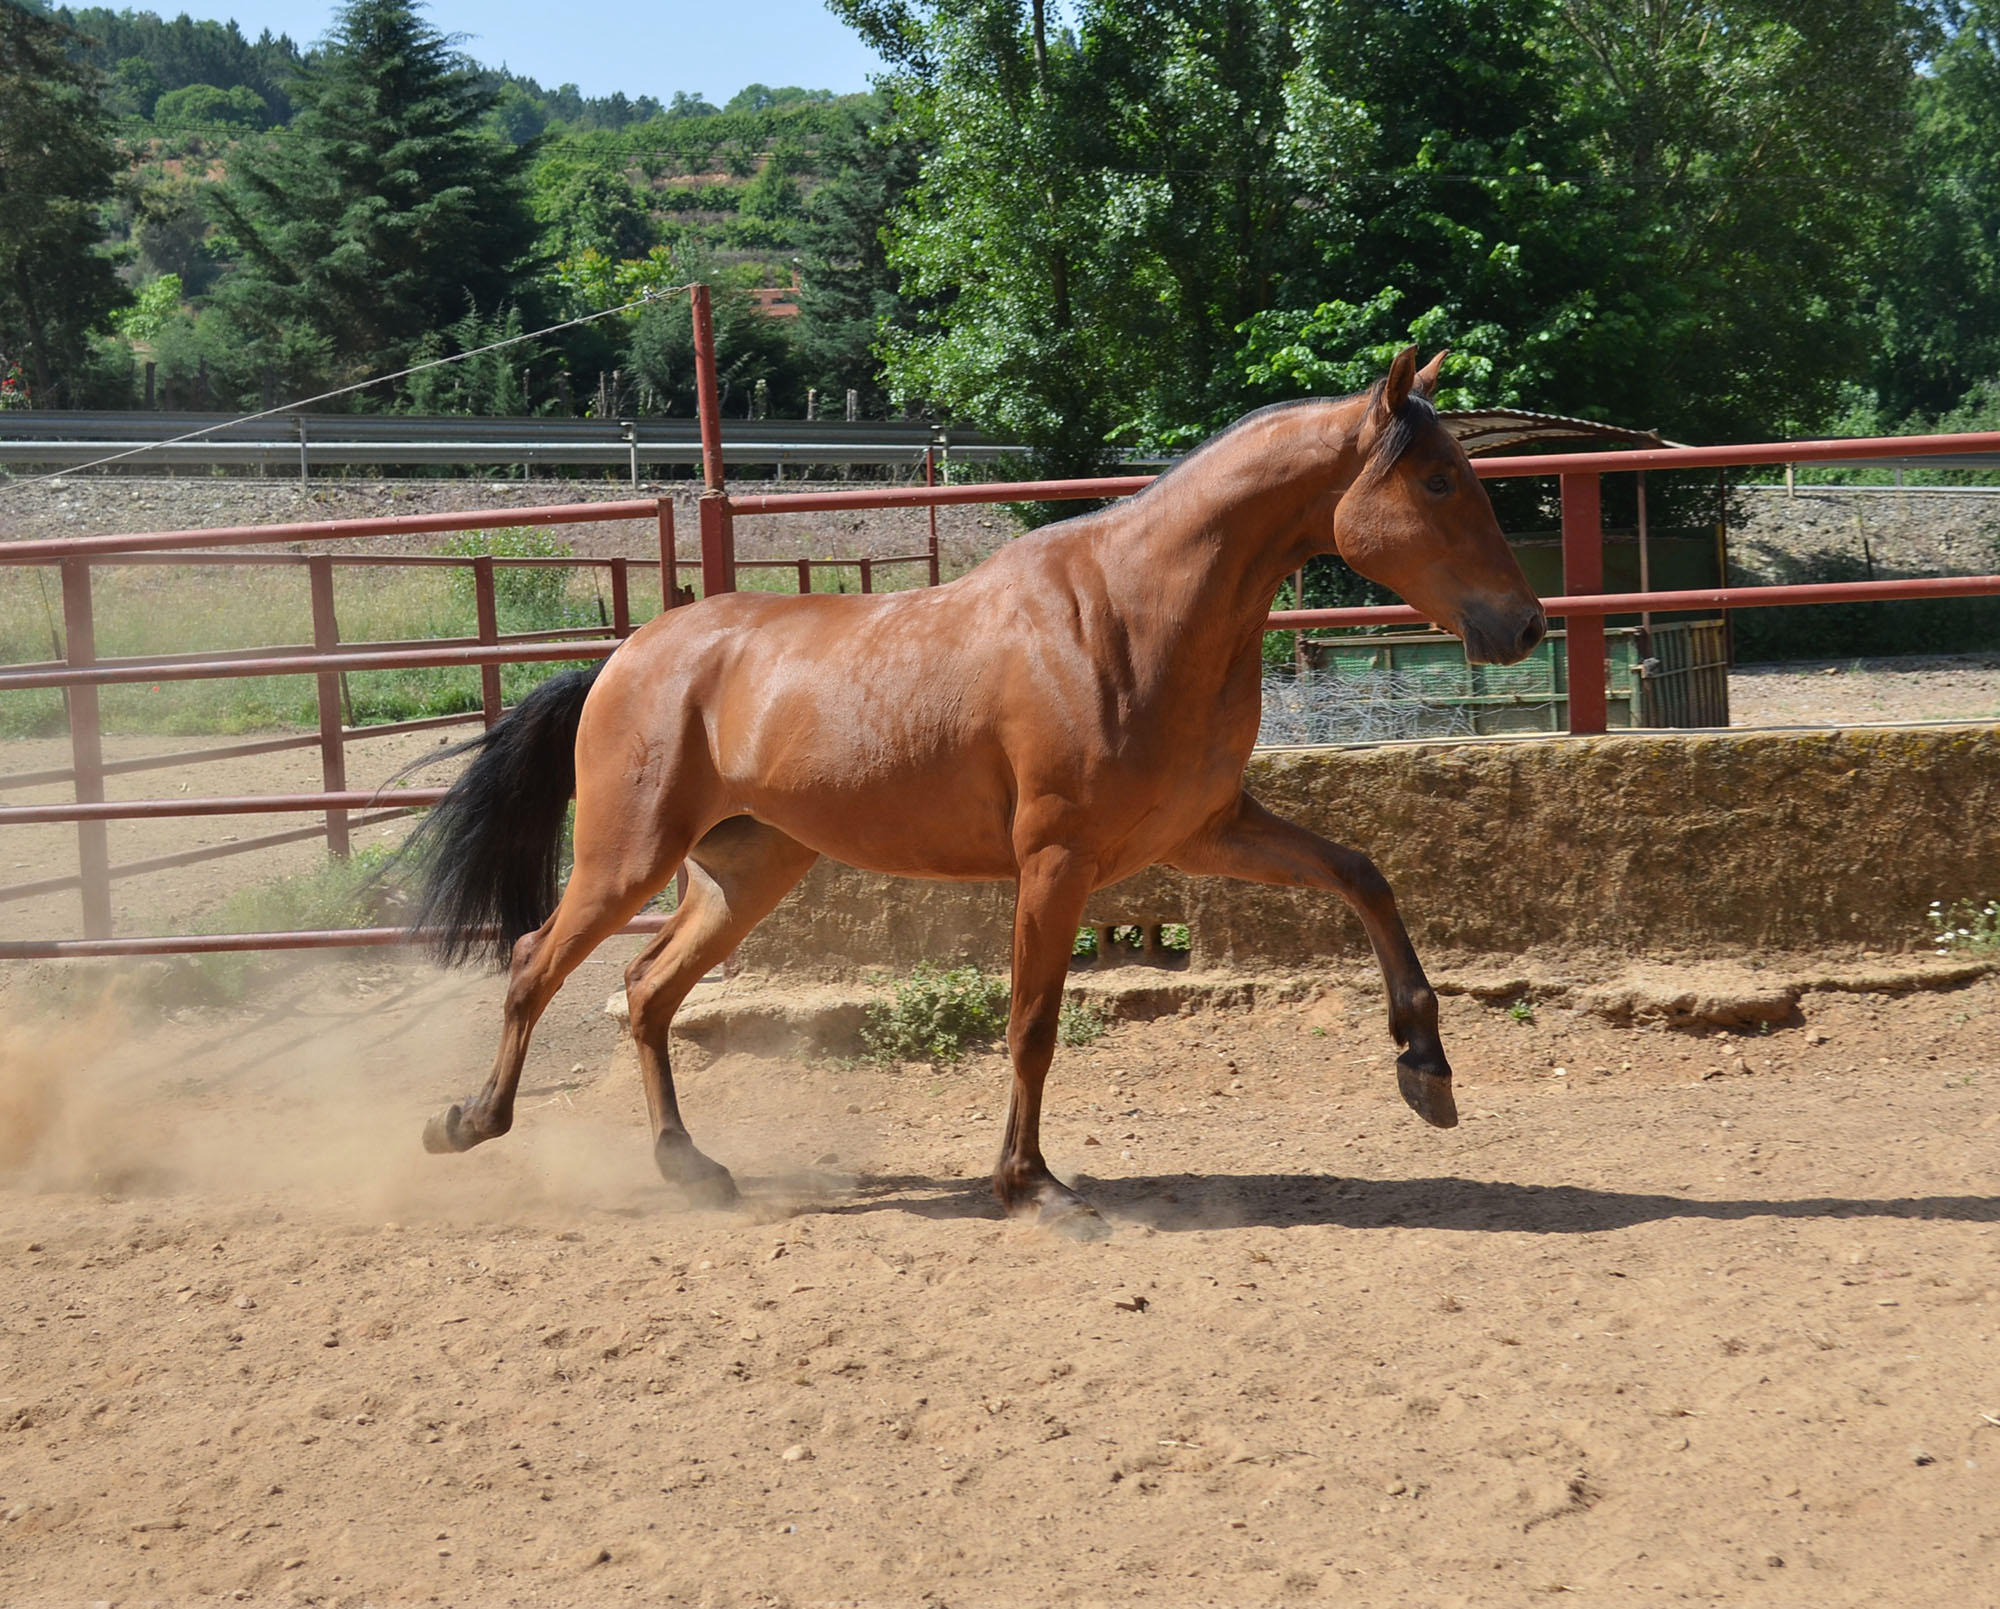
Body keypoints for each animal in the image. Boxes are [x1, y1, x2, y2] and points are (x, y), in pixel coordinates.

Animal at [410, 348, 1544, 1232]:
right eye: (1438, 482)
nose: (1525, 623)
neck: (1130, 616)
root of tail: (624, 655)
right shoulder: (1056, 859)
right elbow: (1031, 1022)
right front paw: (1031, 1186)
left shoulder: (1205, 830)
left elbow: (1362, 875)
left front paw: (1425, 1068)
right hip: (626, 858)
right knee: (534, 963)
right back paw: (465, 1122)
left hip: (747, 870)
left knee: (647, 991)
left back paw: (692, 1169)